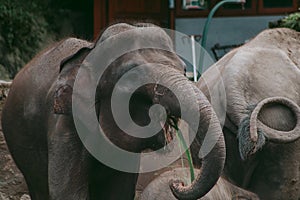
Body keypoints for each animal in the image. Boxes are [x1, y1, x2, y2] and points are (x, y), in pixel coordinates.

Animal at [1, 22, 225, 200]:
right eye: (133, 78)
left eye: (183, 69)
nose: (177, 184)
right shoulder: (65, 125)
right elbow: (66, 193)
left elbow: (119, 192)